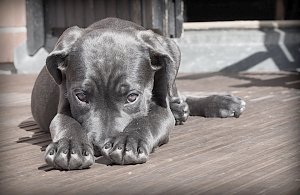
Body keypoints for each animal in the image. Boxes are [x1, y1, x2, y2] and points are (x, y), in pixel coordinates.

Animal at [30, 18, 246, 171]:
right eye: (81, 97)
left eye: (132, 97)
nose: (100, 146)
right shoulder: (63, 105)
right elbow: (67, 123)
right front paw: (68, 147)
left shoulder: (160, 108)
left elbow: (147, 120)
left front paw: (128, 141)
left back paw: (220, 103)